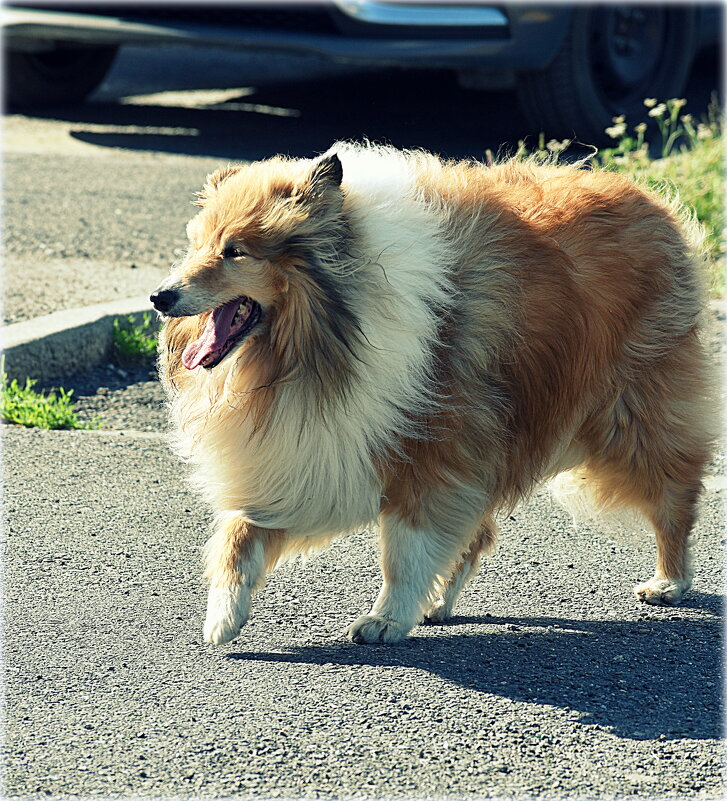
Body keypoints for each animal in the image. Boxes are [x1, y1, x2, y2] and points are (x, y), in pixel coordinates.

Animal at [151, 142, 712, 644]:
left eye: (235, 251)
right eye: (197, 244)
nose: (160, 297)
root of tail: (649, 198)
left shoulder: (435, 450)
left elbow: (405, 548)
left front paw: (386, 619)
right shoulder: (309, 449)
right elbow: (240, 532)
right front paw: (223, 616)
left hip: (631, 418)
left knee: (674, 497)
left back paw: (670, 580)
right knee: (477, 533)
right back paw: (439, 601)